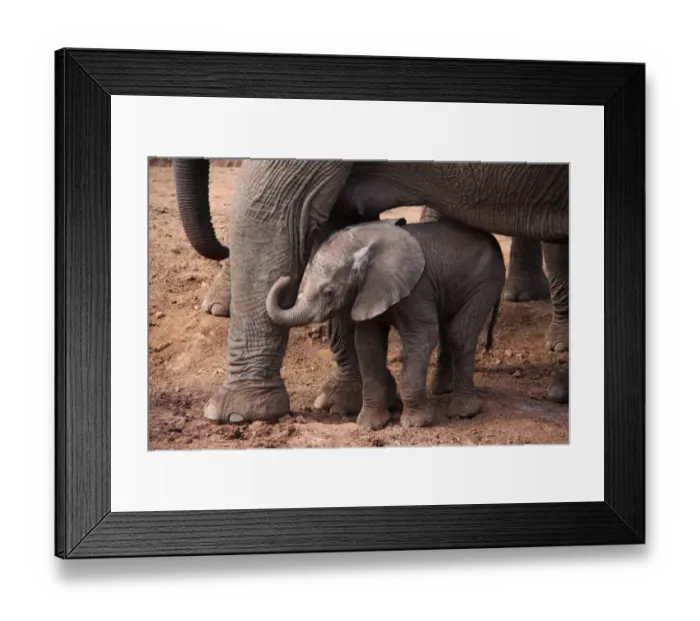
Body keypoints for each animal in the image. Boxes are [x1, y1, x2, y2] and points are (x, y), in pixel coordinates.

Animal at [265, 219, 505, 430]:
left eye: (328, 292)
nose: (286, 278)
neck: (365, 249)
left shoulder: (418, 289)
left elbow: (422, 336)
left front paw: (416, 424)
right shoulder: (366, 293)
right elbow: (368, 343)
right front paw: (371, 425)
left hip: (485, 282)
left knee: (459, 334)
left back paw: (463, 412)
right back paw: (442, 391)